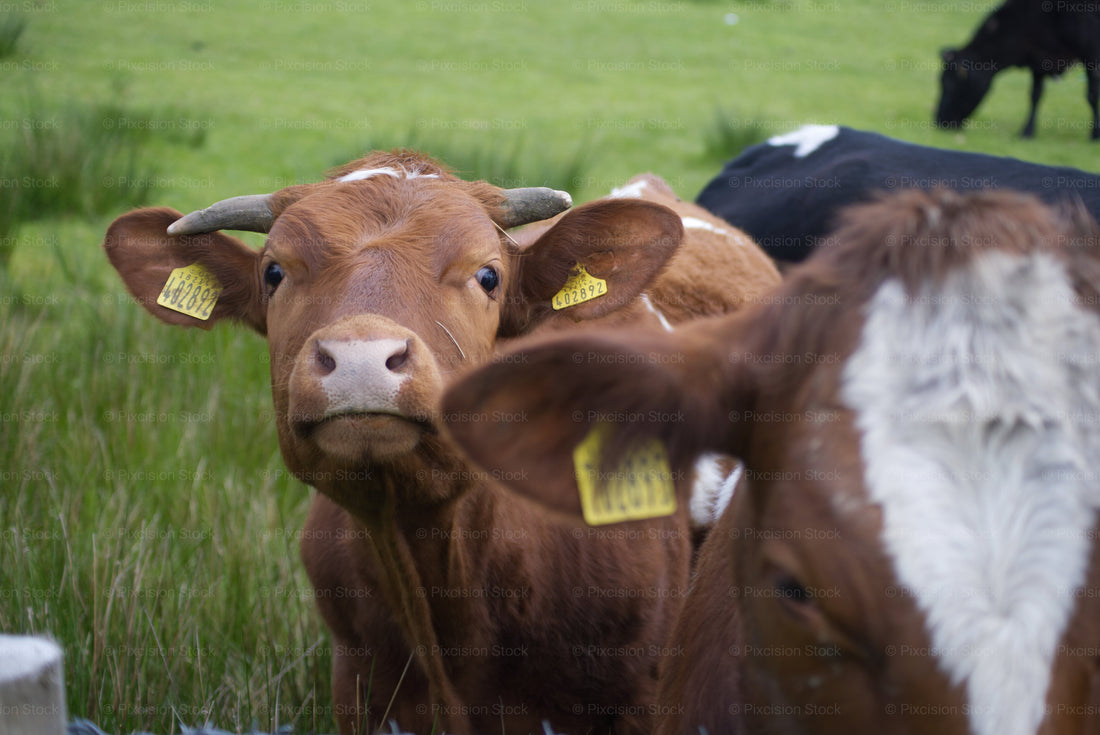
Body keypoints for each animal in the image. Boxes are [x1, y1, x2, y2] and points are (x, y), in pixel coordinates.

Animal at [935, 0, 1100, 140]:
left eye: (951, 83)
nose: (939, 120)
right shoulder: (1039, 58)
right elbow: (1035, 95)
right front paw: (1027, 132)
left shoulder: (1091, 51)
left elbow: (1092, 96)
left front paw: (1095, 134)